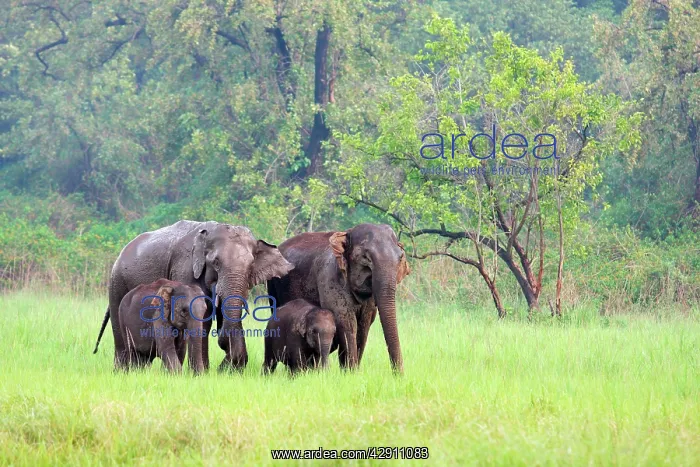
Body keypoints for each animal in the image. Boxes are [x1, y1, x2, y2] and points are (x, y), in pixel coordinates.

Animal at [93, 220, 293, 371]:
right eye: (216, 262)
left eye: (251, 265)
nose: (223, 342)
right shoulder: (184, 268)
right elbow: (202, 318)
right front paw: (202, 372)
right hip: (117, 283)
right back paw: (121, 371)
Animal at [267, 223, 410, 373]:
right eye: (365, 257)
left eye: (400, 257)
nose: (399, 375)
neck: (347, 233)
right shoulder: (330, 278)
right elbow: (346, 321)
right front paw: (351, 373)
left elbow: (364, 325)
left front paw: (350, 372)